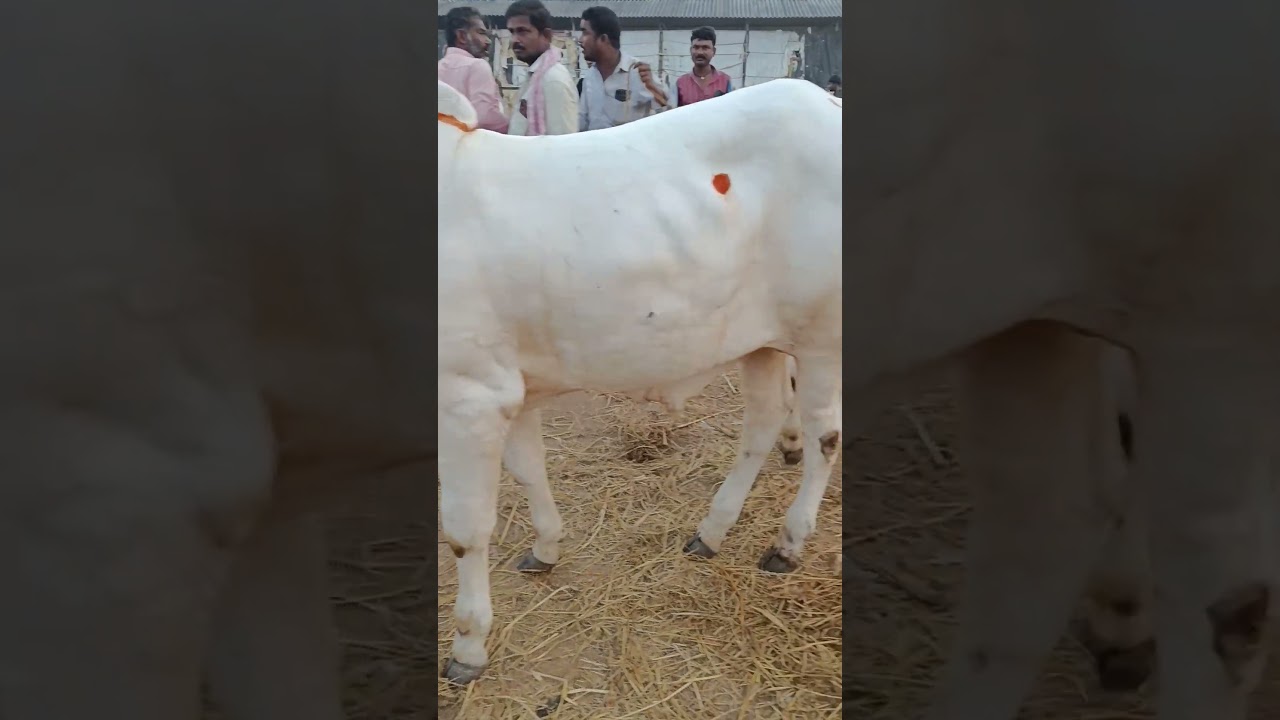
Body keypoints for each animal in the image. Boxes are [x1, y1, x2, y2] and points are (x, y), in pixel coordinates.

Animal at [437, 77, 843, 684]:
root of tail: (825, 99)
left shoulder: (468, 398)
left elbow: (465, 531)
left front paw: (468, 644)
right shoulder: (512, 391)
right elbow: (529, 470)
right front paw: (547, 546)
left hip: (822, 339)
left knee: (824, 438)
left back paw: (788, 543)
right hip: (762, 340)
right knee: (764, 426)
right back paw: (712, 529)